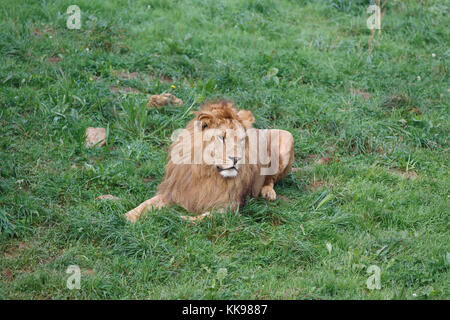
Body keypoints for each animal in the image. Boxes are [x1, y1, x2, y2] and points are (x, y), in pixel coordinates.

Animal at [125, 100, 296, 222]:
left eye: (242, 140)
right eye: (222, 137)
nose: (236, 159)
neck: (206, 172)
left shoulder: (228, 206)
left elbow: (200, 218)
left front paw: (176, 217)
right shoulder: (174, 191)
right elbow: (146, 204)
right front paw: (127, 217)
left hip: (288, 137)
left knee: (270, 179)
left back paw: (268, 192)